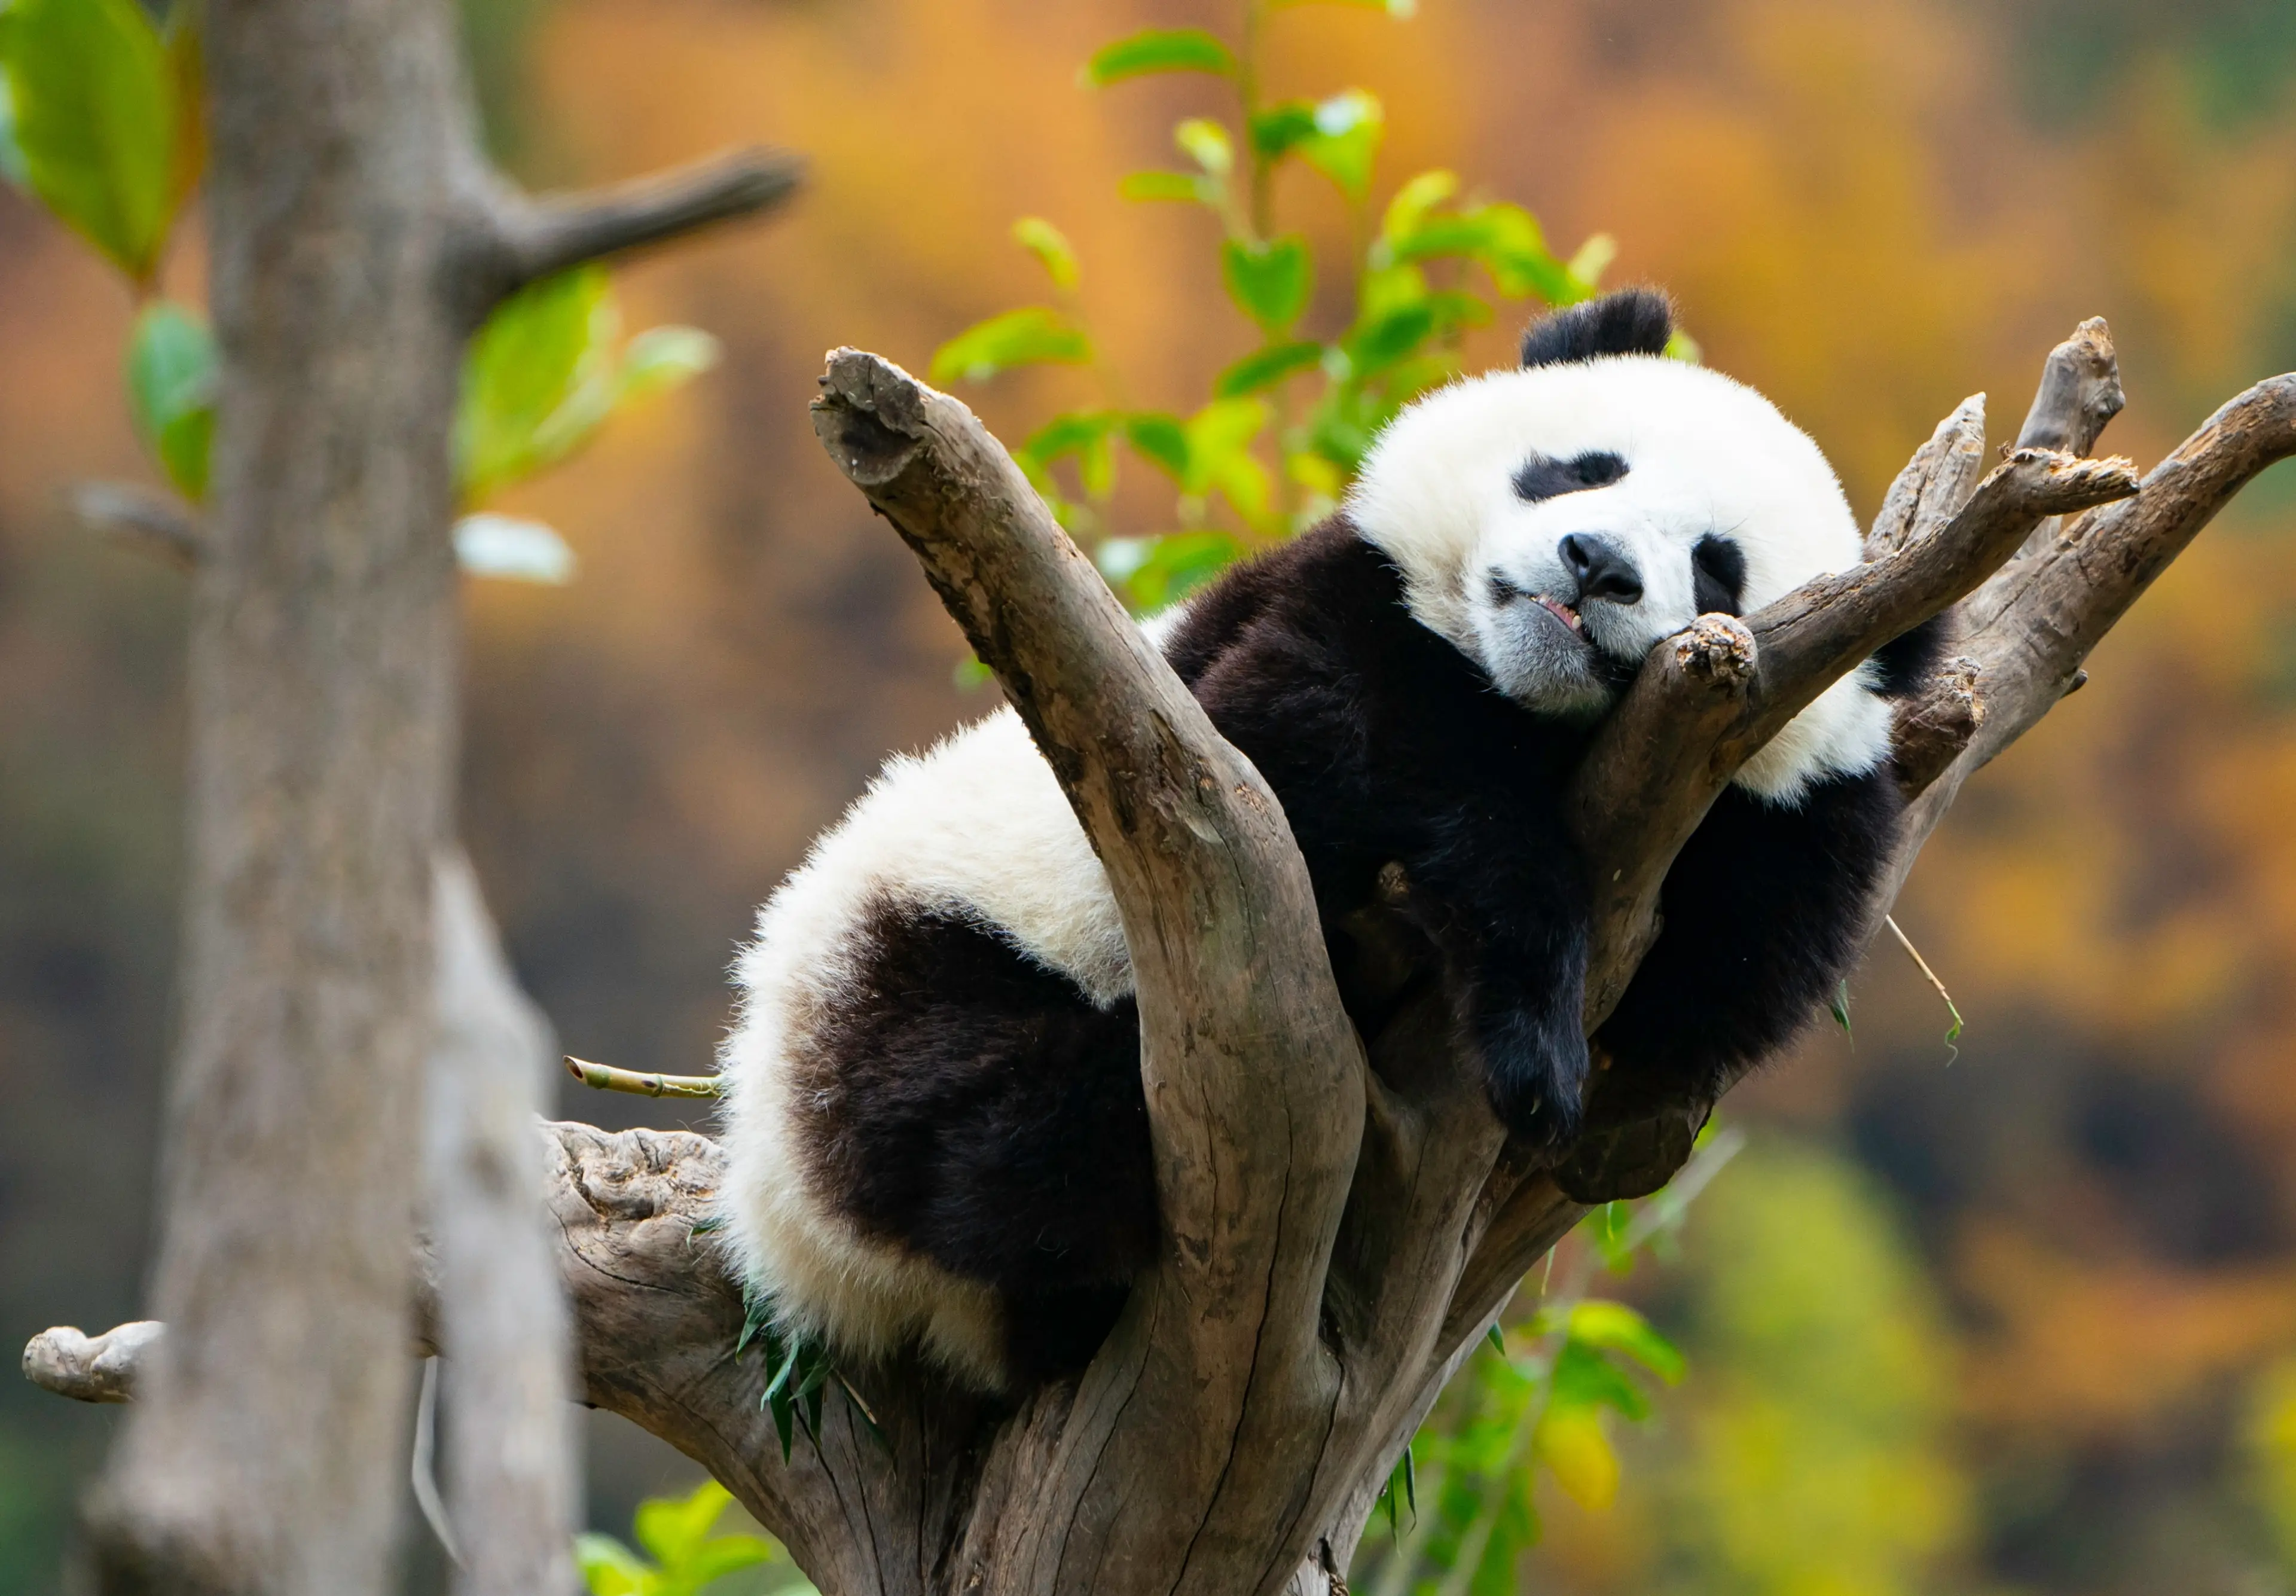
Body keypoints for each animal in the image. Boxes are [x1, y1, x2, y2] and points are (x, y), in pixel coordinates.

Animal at [715, 289, 1939, 1393]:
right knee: (978, 1130)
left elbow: (1729, 979)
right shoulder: (1282, 645)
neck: (1535, 703)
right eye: (1582, 468)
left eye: (1718, 566)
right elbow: (1323, 740)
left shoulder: (1785, 825)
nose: (1594, 563)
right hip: (914, 956)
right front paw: (1533, 1036)